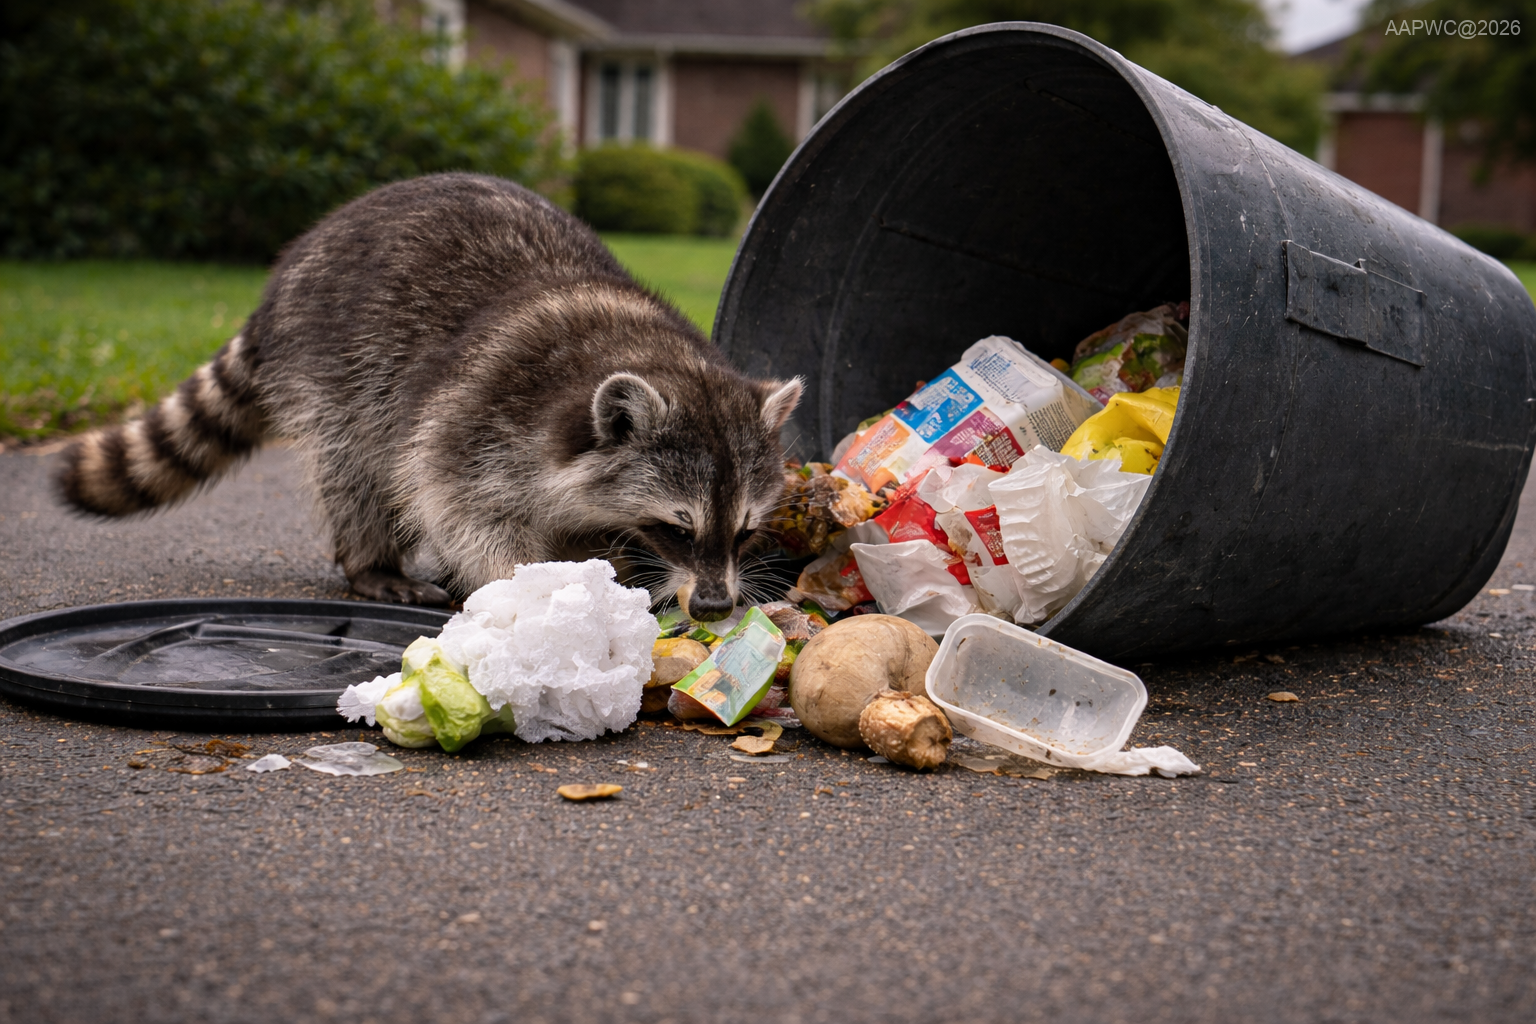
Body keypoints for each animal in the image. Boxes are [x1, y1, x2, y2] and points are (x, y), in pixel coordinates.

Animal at [57, 173, 802, 619]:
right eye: (678, 528)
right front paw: (531, 585)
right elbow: (462, 509)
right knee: (357, 469)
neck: (643, 346)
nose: (715, 607)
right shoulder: (480, 416)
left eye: (746, 530)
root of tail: (295, 264)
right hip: (336, 363)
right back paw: (372, 561)